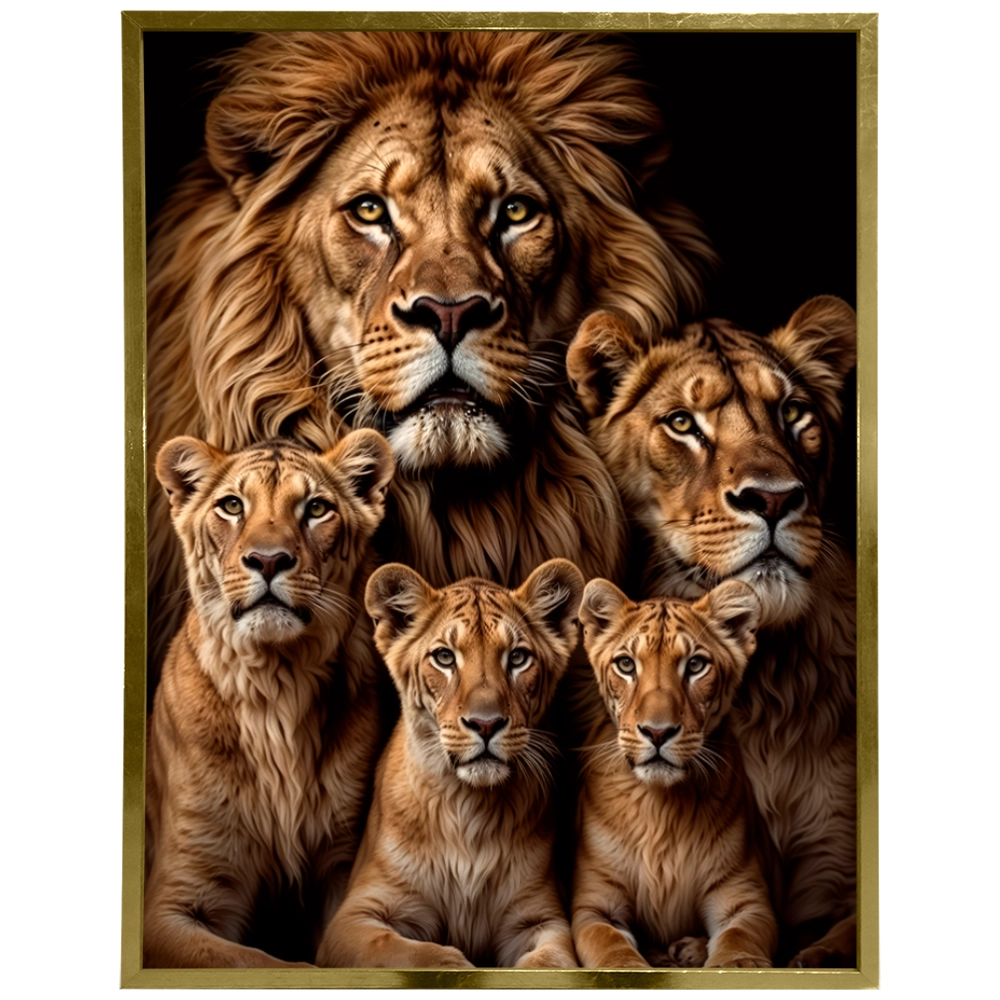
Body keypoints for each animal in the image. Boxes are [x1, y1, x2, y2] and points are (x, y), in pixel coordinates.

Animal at [144, 430, 394, 968]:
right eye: (232, 506)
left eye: (316, 508)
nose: (268, 560)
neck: (278, 685)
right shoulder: (173, 904)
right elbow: (251, 960)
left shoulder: (341, 864)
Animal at [316, 559, 584, 968]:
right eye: (444, 657)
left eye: (517, 658)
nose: (486, 724)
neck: (469, 806)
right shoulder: (353, 917)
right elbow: (413, 953)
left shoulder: (540, 918)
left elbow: (549, 963)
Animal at [574, 578, 778, 969]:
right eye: (626, 664)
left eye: (696, 665)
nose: (657, 732)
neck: (662, 808)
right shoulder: (595, 905)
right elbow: (610, 947)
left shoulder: (745, 899)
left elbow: (739, 943)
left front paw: (729, 963)